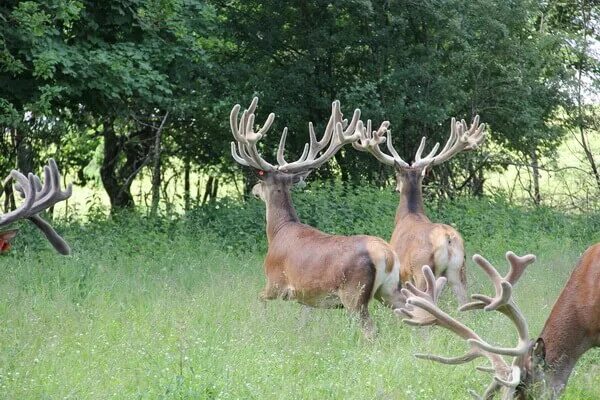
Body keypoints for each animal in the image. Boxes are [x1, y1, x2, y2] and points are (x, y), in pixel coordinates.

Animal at [230, 97, 404, 338]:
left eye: (261, 181)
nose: (254, 190)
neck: (277, 232)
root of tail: (387, 255)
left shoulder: (276, 281)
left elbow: (259, 299)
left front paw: (260, 325)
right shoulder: (306, 295)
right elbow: (302, 321)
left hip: (354, 293)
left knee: (371, 330)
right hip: (390, 289)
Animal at [354, 117, 486, 304]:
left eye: (396, 175)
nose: (396, 187)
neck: (409, 215)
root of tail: (447, 238)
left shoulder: (403, 273)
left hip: (422, 271)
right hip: (459, 272)